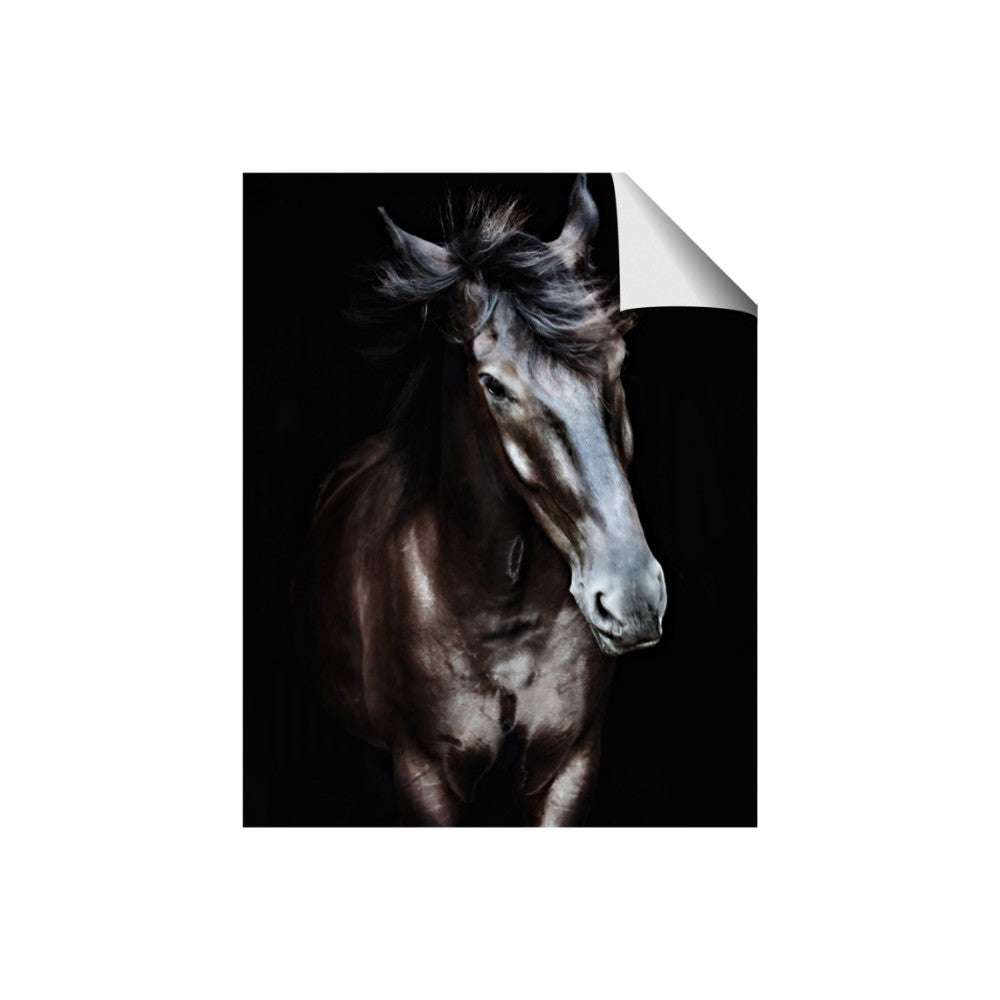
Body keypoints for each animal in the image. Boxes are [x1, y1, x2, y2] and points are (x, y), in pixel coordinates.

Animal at [293, 175, 667, 825]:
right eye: (493, 384)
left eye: (618, 359)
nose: (632, 599)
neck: (498, 612)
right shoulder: (423, 777)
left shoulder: (570, 769)